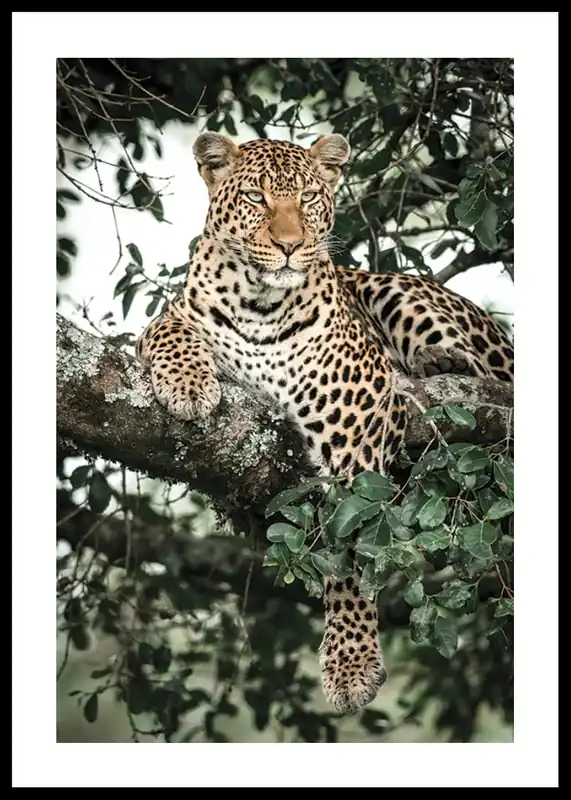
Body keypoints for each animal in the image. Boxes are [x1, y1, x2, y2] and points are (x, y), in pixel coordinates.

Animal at [136, 132, 514, 716]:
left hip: (399, 296)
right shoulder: (172, 318)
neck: (259, 304)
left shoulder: (355, 423)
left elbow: (352, 548)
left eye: (309, 198)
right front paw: (189, 386)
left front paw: (351, 663)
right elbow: (168, 330)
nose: (292, 245)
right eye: (257, 197)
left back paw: (433, 365)